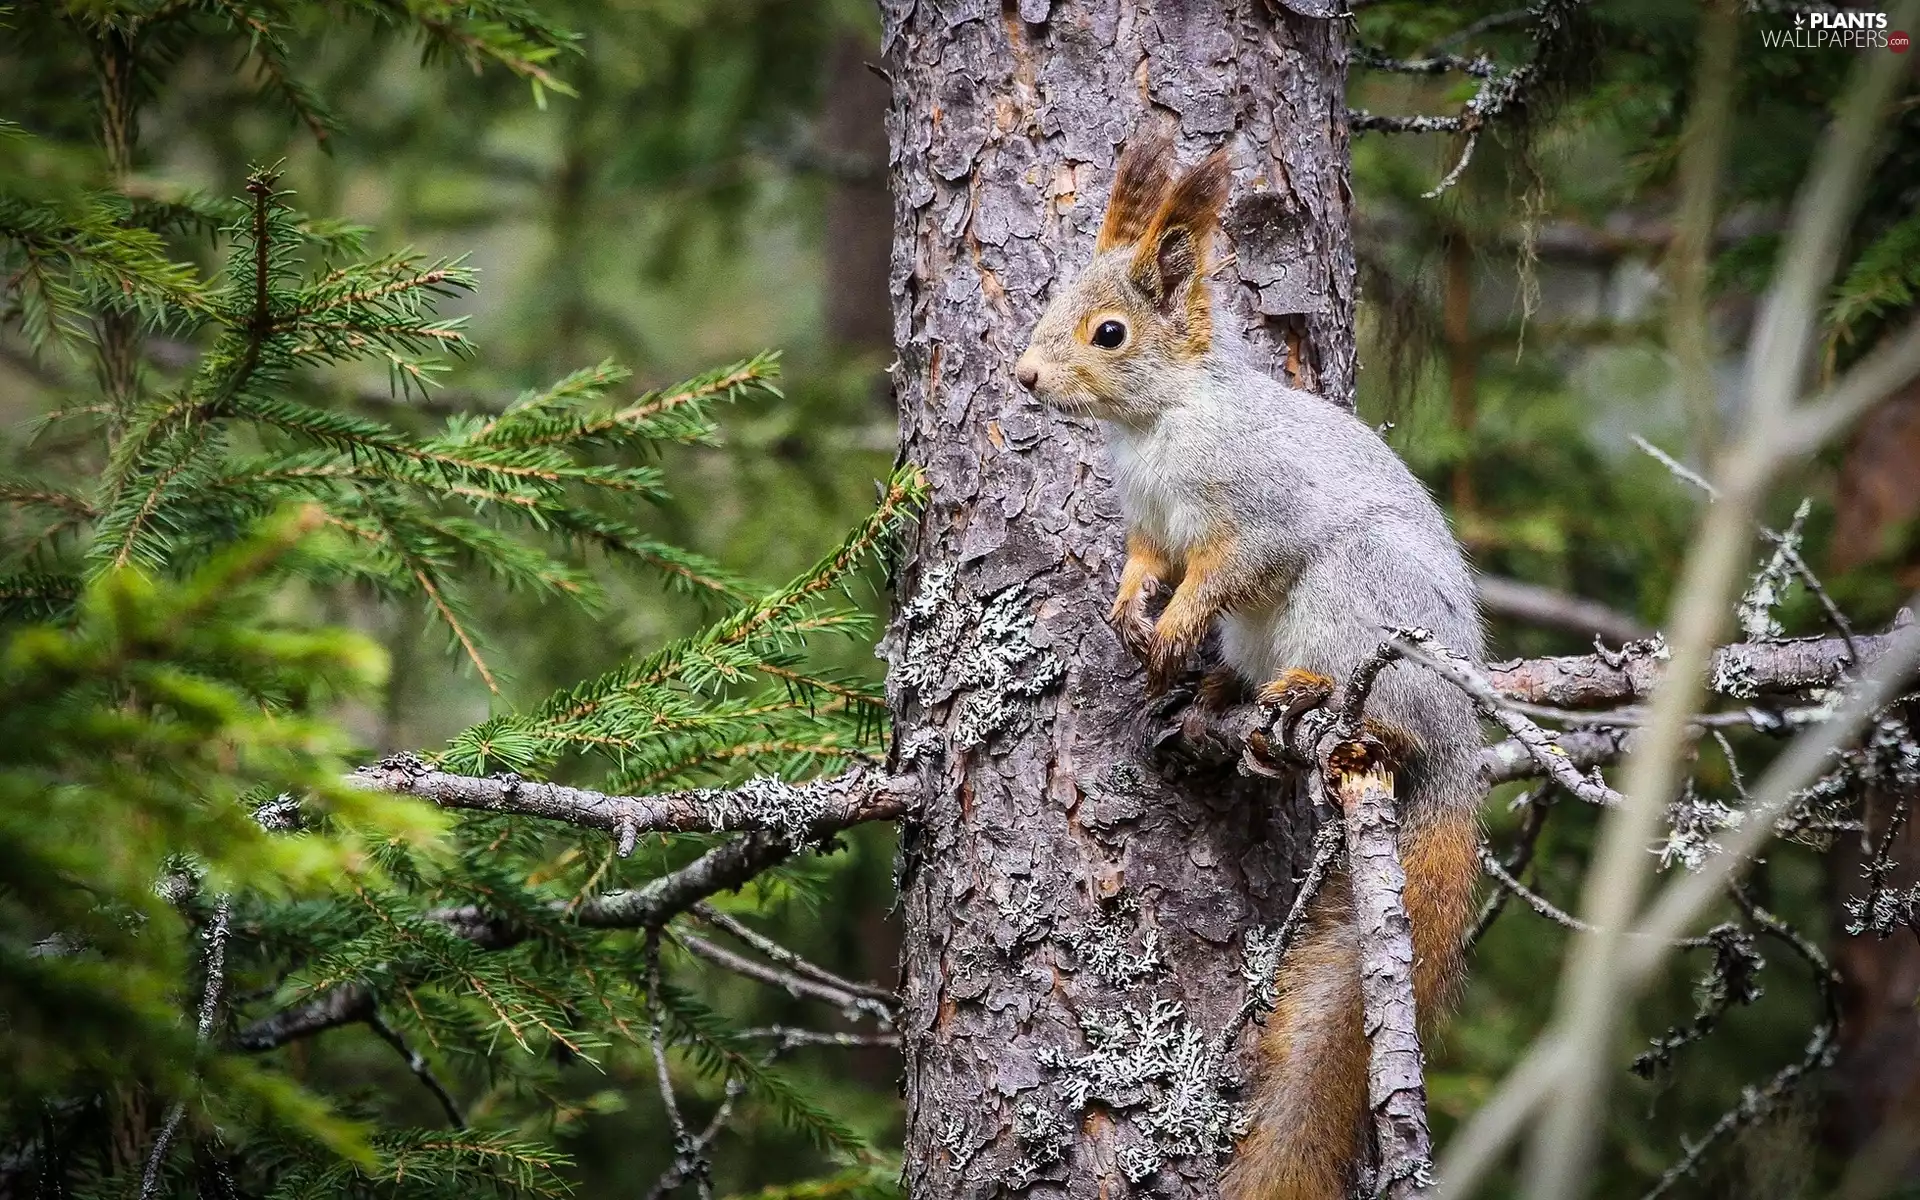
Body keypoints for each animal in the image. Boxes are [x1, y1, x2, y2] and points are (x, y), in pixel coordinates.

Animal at [1013, 130, 1486, 1200]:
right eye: (1052, 299)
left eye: (1108, 333)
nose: (1023, 377)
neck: (1158, 424)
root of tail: (1461, 750)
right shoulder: (1150, 526)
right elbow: (1148, 566)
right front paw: (1129, 615)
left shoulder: (1256, 517)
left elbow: (1221, 573)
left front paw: (1171, 624)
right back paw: (1216, 703)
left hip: (1358, 604)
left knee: (1378, 713)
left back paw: (1316, 701)